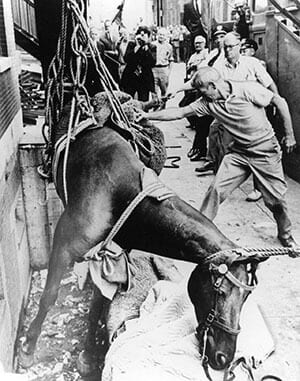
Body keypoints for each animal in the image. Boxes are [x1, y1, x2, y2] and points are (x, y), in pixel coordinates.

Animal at [17, 89, 264, 372]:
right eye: (219, 291)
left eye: (245, 298)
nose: (223, 357)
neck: (123, 195)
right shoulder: (63, 246)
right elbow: (49, 296)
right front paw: (28, 348)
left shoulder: (113, 257)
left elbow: (98, 304)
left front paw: (88, 355)